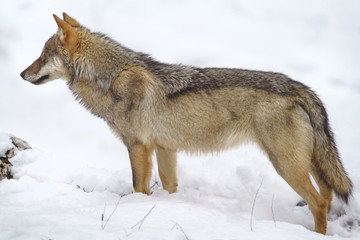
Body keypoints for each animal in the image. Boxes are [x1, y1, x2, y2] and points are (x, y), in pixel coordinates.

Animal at [20, 13, 352, 234]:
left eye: (43, 54)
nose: (22, 74)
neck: (111, 78)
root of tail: (301, 88)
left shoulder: (138, 147)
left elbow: (138, 188)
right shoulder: (165, 149)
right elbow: (169, 188)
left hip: (286, 166)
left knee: (318, 203)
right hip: (309, 164)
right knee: (327, 198)